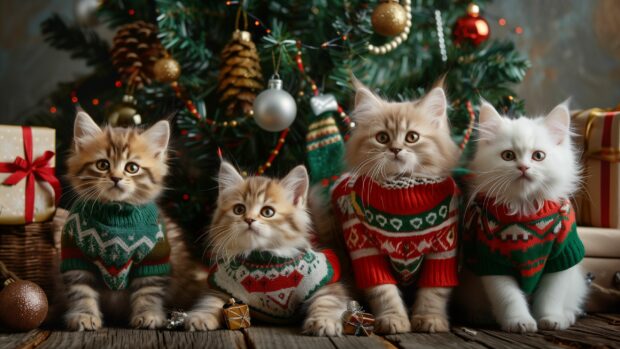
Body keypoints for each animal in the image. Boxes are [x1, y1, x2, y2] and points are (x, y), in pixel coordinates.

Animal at [60, 111, 202, 328]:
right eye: (103, 165)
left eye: (132, 168)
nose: (116, 178)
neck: (116, 215)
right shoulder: (75, 255)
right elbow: (81, 291)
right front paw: (84, 315)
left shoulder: (154, 257)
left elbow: (148, 291)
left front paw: (148, 315)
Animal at [185, 162, 348, 336]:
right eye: (239, 209)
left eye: (268, 212)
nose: (249, 219)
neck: (262, 259)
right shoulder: (221, 287)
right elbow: (209, 301)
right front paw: (200, 317)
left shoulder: (324, 282)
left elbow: (327, 301)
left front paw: (323, 322)